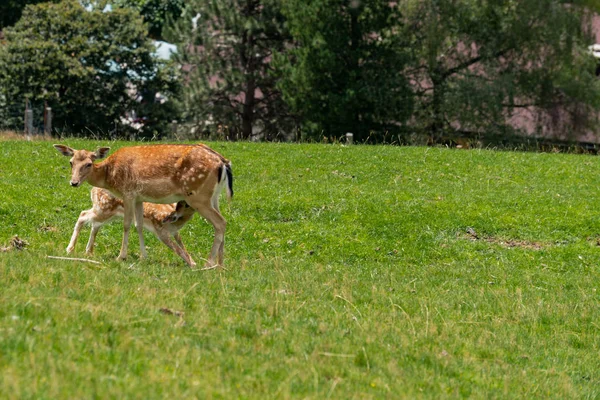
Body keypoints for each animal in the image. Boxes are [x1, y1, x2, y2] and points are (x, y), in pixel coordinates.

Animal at [68, 187, 196, 268]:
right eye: (186, 204)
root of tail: (93, 189)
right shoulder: (161, 231)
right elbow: (177, 249)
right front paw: (192, 265)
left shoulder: (174, 232)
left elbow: (182, 245)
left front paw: (193, 262)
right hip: (103, 209)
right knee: (83, 215)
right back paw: (70, 249)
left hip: (108, 213)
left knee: (94, 224)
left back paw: (89, 251)